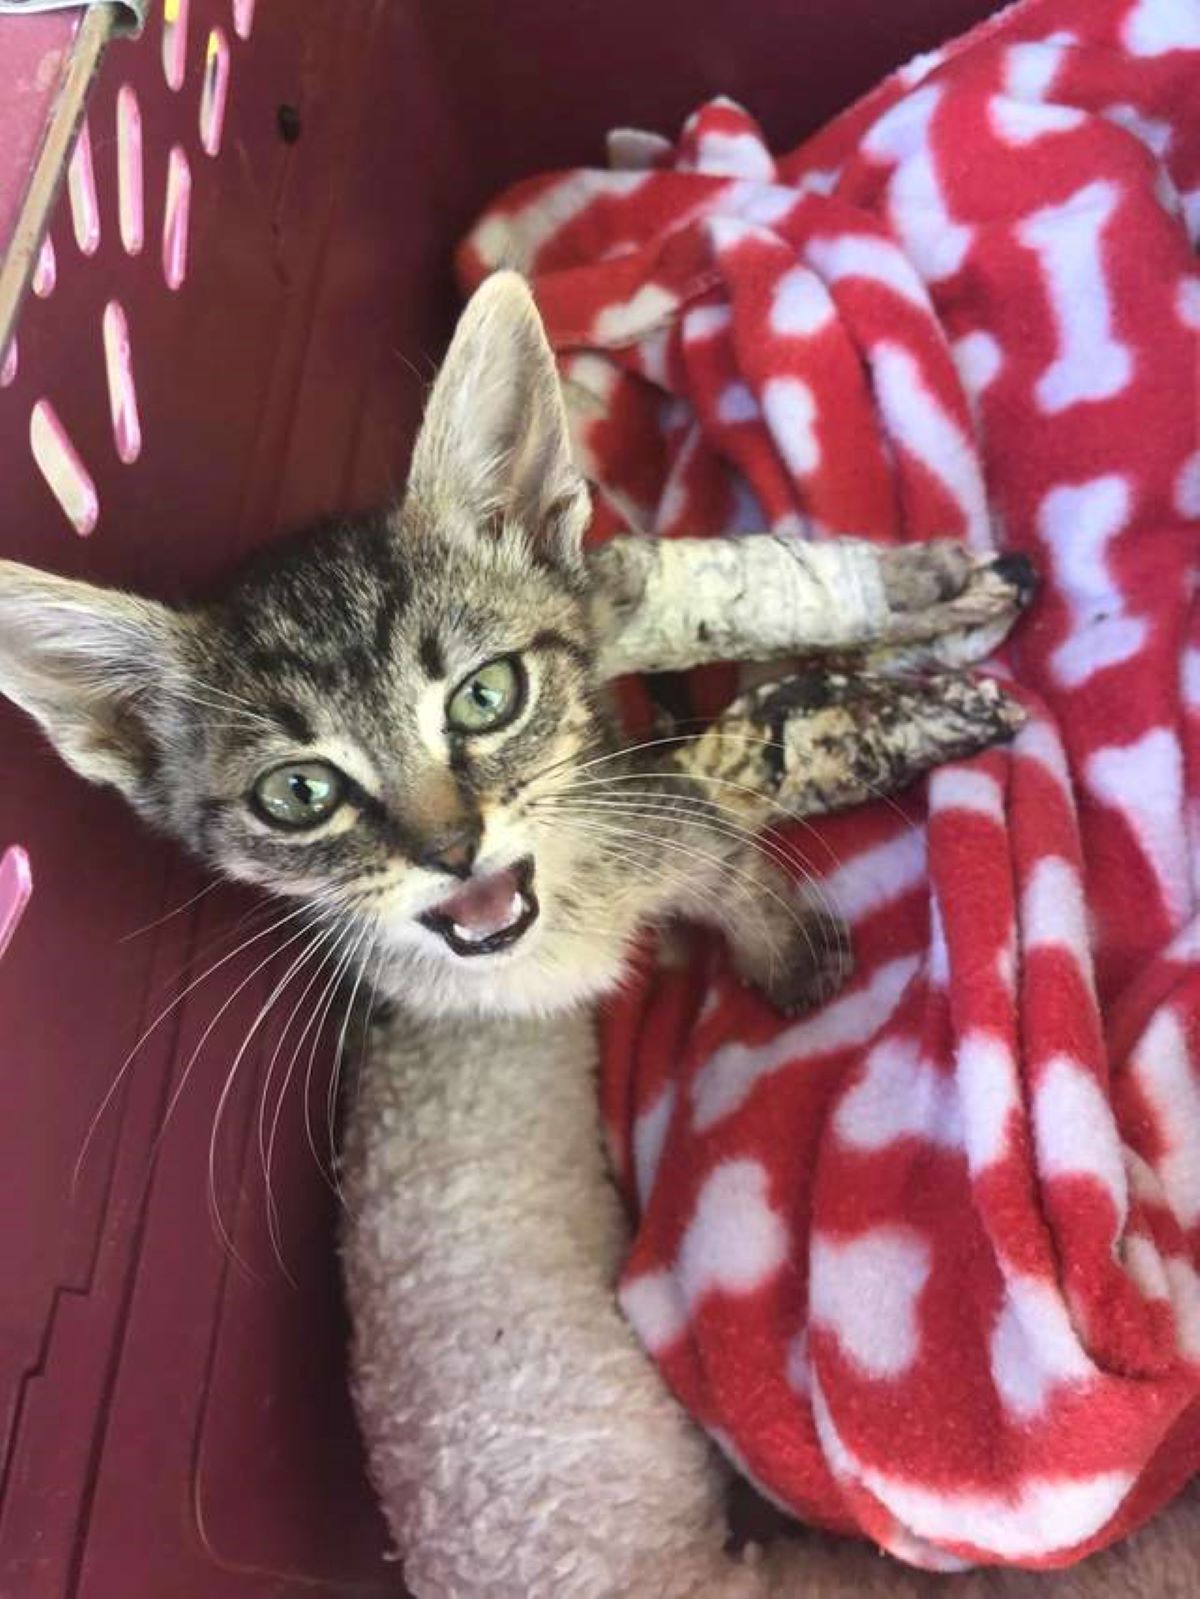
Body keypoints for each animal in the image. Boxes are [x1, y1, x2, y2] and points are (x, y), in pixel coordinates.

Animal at [0, 271, 838, 1023]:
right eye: (299, 792)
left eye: (485, 696)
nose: (455, 850)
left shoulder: (667, 812)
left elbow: (733, 870)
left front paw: (790, 949)